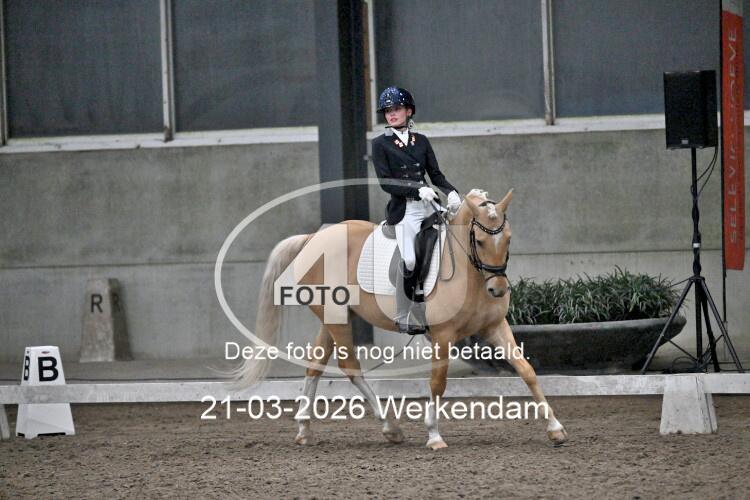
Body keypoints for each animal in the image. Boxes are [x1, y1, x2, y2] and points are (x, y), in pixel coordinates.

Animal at [236, 188, 568, 449]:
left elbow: (527, 371)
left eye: (508, 239)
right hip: (337, 320)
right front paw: (434, 435)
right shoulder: (443, 336)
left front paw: (555, 429)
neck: (469, 273)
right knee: (349, 366)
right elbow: (438, 382)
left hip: (334, 318)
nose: (497, 290)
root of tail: (313, 239)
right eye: (481, 241)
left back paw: (305, 429)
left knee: (315, 363)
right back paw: (390, 427)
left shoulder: (495, 328)